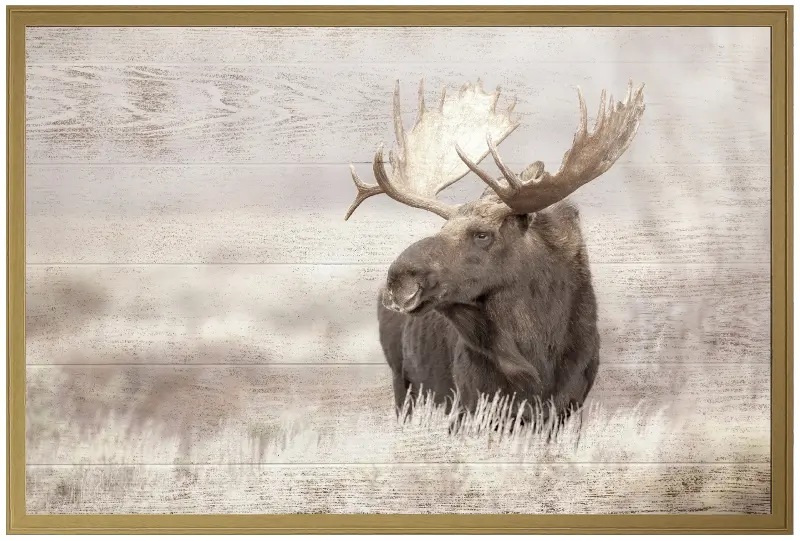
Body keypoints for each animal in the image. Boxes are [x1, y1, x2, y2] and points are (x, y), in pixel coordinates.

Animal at [345, 78, 645, 429]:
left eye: (482, 234)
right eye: (443, 227)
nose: (398, 279)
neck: (537, 354)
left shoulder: (566, 408)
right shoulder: (471, 403)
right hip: (402, 381)